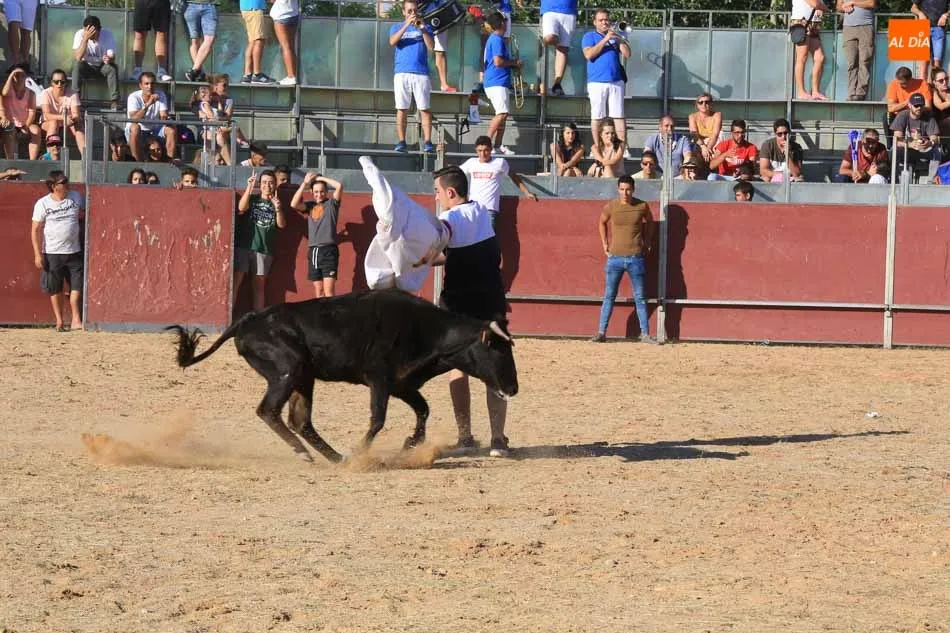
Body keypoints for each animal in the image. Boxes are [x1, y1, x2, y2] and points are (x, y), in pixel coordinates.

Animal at [166, 289, 518, 463]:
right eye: (498, 350)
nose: (513, 388)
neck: (429, 332)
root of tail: (249, 319)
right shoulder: (379, 380)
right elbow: (378, 418)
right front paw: (362, 450)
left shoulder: (401, 384)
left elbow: (423, 409)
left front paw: (409, 444)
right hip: (287, 371)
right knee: (269, 411)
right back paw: (307, 454)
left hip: (303, 379)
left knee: (300, 421)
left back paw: (334, 457)